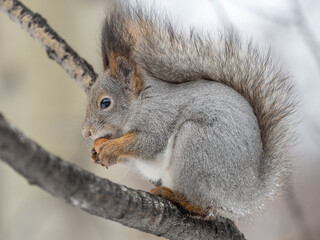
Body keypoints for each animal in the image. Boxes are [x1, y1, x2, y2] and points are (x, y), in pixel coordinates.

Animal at [81, 1, 296, 219]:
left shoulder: (158, 118)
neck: (139, 104)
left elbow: (147, 142)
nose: (86, 132)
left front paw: (110, 147)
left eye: (105, 103)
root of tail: (247, 192)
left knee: (205, 207)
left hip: (196, 148)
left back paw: (176, 197)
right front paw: (97, 151)